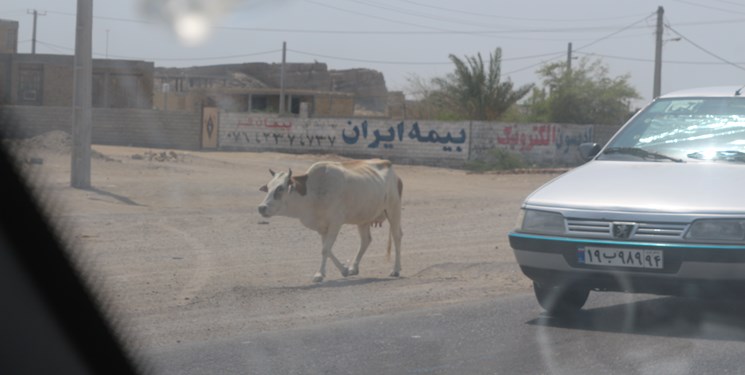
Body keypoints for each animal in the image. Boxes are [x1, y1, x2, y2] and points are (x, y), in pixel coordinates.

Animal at [258, 158, 404, 282]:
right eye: (268, 187)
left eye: (280, 188)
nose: (261, 208)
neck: (313, 192)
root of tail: (389, 165)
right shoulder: (322, 228)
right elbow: (327, 249)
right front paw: (344, 269)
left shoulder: (336, 223)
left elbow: (325, 250)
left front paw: (319, 274)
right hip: (363, 218)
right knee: (365, 240)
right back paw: (354, 268)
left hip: (393, 210)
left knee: (397, 237)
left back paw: (396, 269)